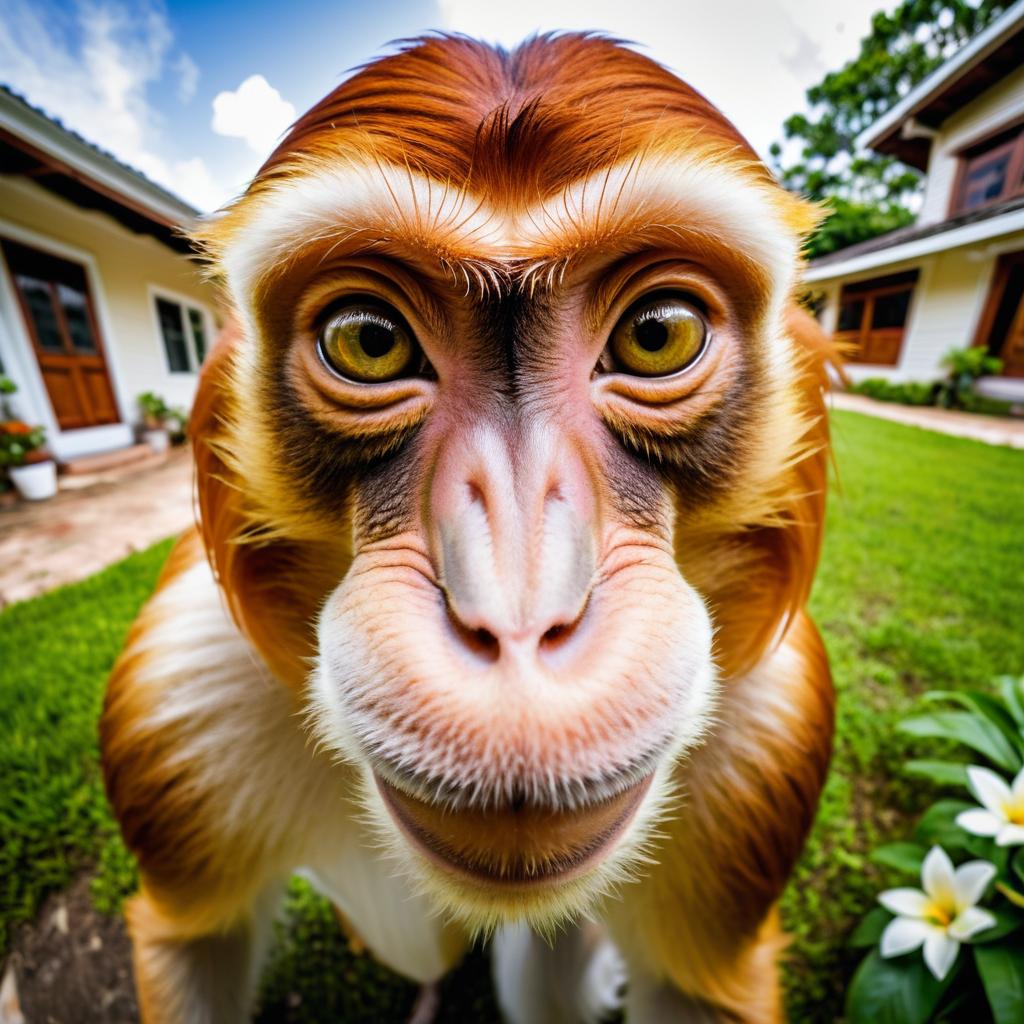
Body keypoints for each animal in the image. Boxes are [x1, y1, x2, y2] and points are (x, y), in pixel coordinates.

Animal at [97, 32, 831, 1024]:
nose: (518, 623)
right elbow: (196, 942)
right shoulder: (178, 702)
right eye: (369, 341)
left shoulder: (768, 736)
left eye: (657, 334)